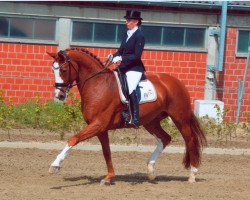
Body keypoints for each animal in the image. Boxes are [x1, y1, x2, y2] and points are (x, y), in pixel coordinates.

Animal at [47, 47, 206, 185]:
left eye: (63, 70)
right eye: (53, 70)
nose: (59, 95)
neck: (97, 84)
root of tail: (177, 82)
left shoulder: (98, 124)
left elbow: (73, 139)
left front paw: (55, 164)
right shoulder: (100, 129)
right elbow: (106, 152)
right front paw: (109, 177)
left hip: (180, 119)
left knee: (190, 140)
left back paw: (192, 174)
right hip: (151, 122)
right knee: (165, 138)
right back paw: (151, 171)